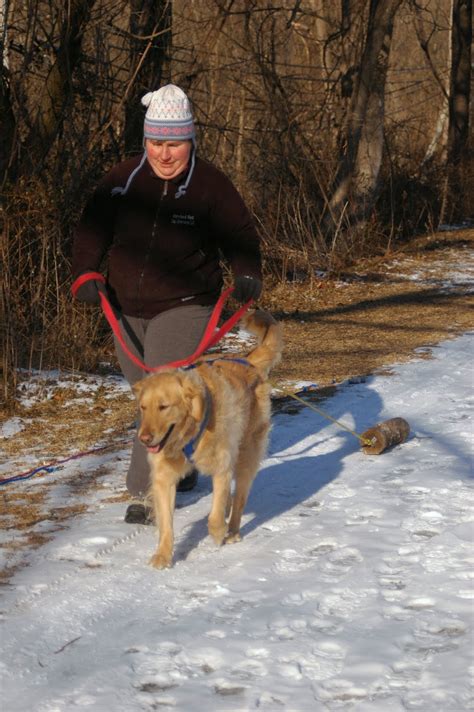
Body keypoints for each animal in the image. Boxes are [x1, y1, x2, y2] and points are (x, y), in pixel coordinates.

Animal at [133, 310, 282, 568]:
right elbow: (166, 522)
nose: (144, 439)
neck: (189, 434)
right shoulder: (163, 477)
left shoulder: (221, 466)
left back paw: (232, 531)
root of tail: (248, 362)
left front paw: (217, 531)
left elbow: (215, 512)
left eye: (163, 407)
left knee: (239, 498)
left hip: (247, 455)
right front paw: (163, 554)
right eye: (143, 407)